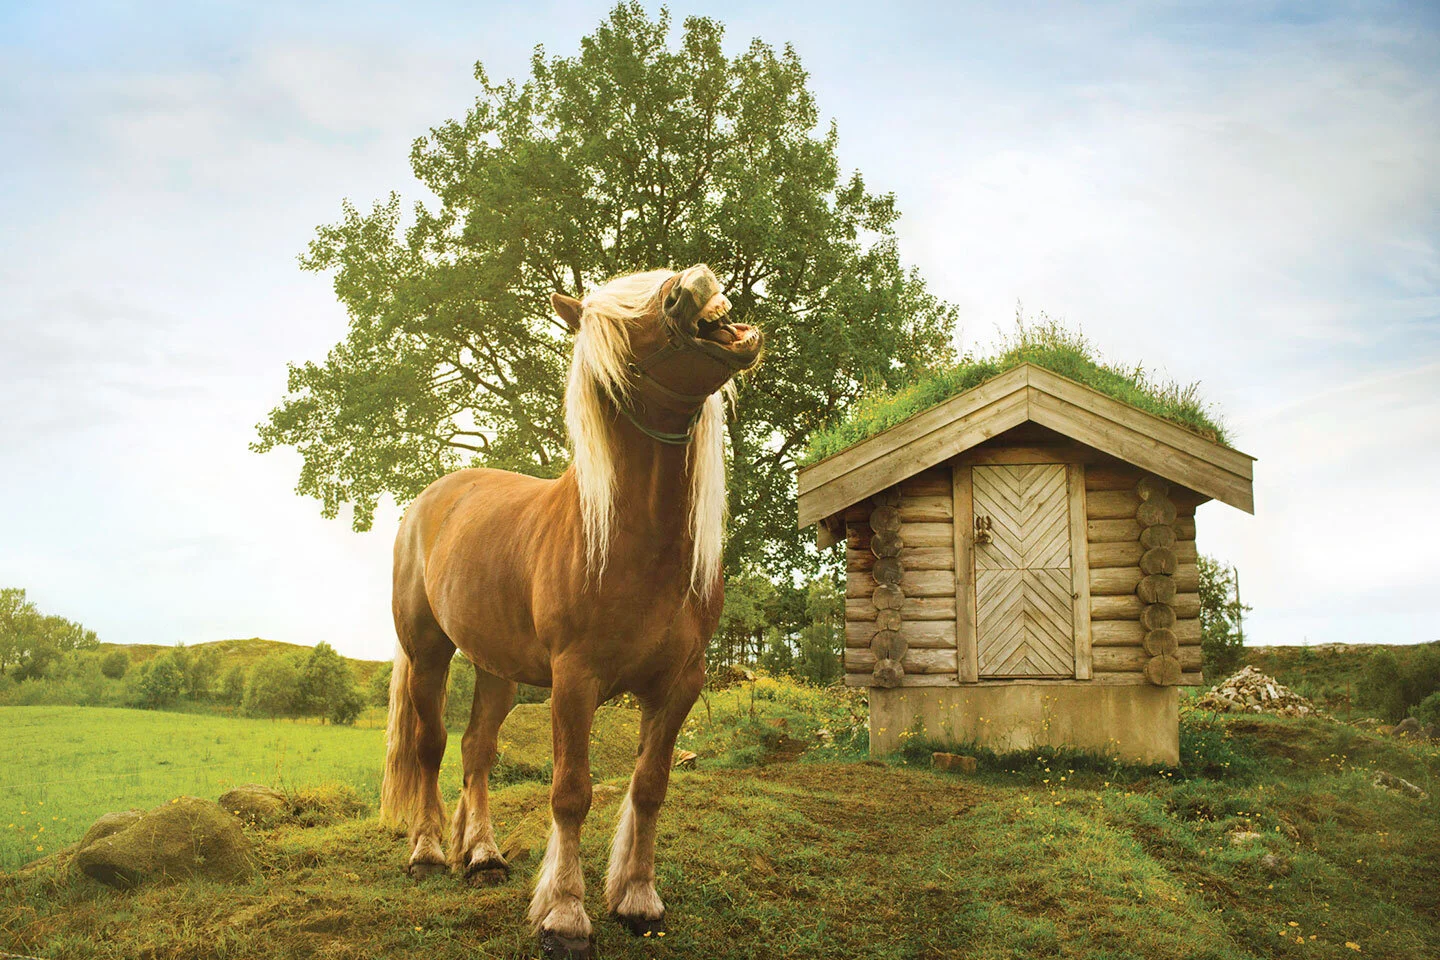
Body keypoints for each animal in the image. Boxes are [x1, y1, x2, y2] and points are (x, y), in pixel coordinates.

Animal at [381, 264, 763, 959]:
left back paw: (482, 856)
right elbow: (571, 793)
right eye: (621, 335)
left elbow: (649, 786)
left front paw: (637, 898)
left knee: (477, 749)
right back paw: (428, 852)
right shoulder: (575, 680)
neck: (632, 540)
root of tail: (431, 499)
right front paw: (563, 913)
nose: (690, 283)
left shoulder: (680, 684)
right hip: (428, 655)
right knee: (430, 746)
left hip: (497, 669)